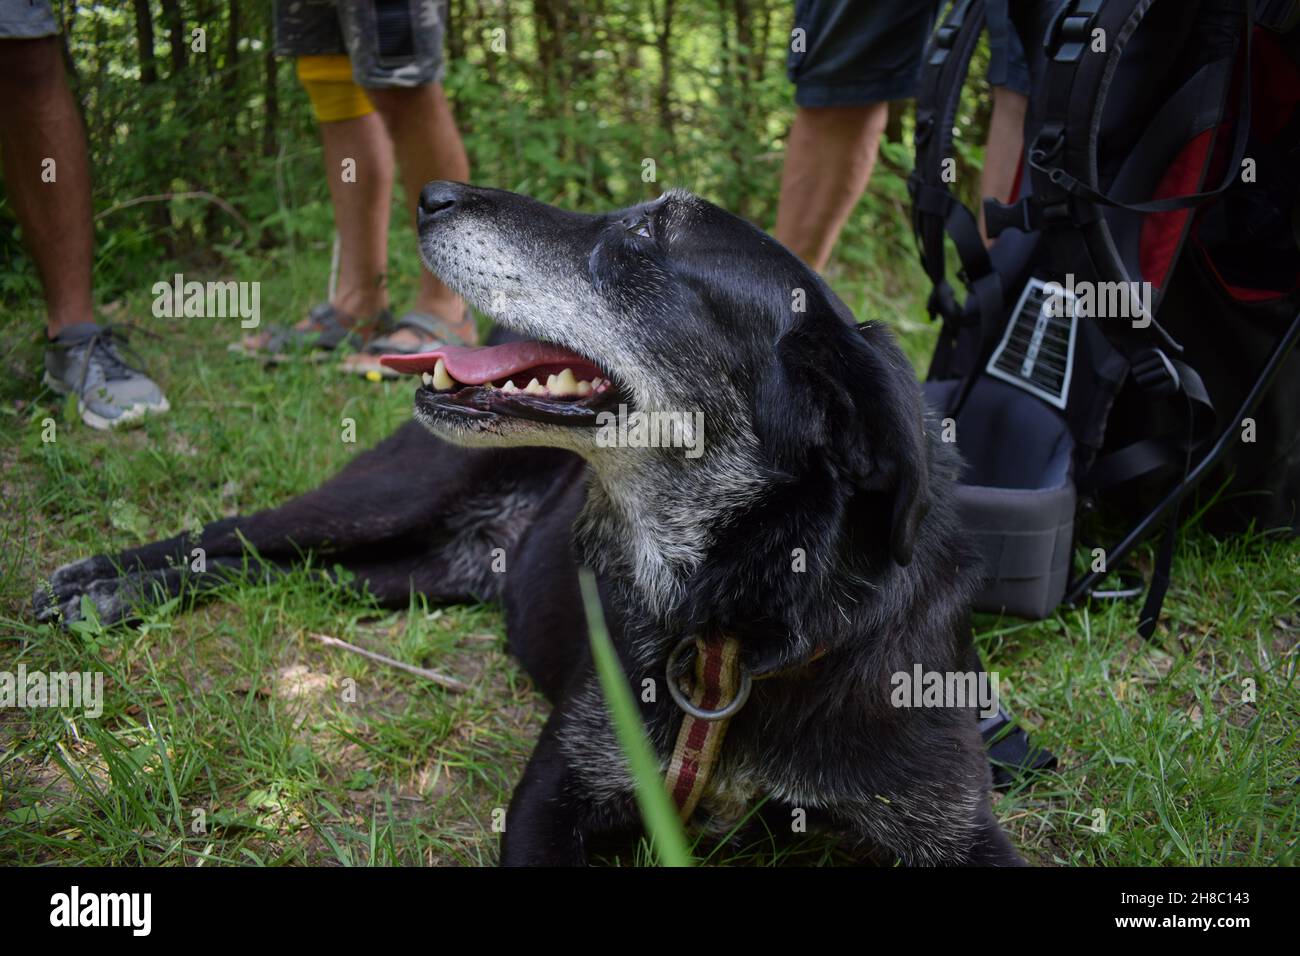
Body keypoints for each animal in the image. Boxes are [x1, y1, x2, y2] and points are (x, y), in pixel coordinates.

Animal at [35, 183, 1019, 863]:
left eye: (643, 239)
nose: (431, 193)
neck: (740, 621)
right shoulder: (555, 792)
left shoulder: (956, 827)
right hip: (383, 499)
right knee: (237, 531)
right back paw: (96, 584)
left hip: (407, 574)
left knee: (292, 571)